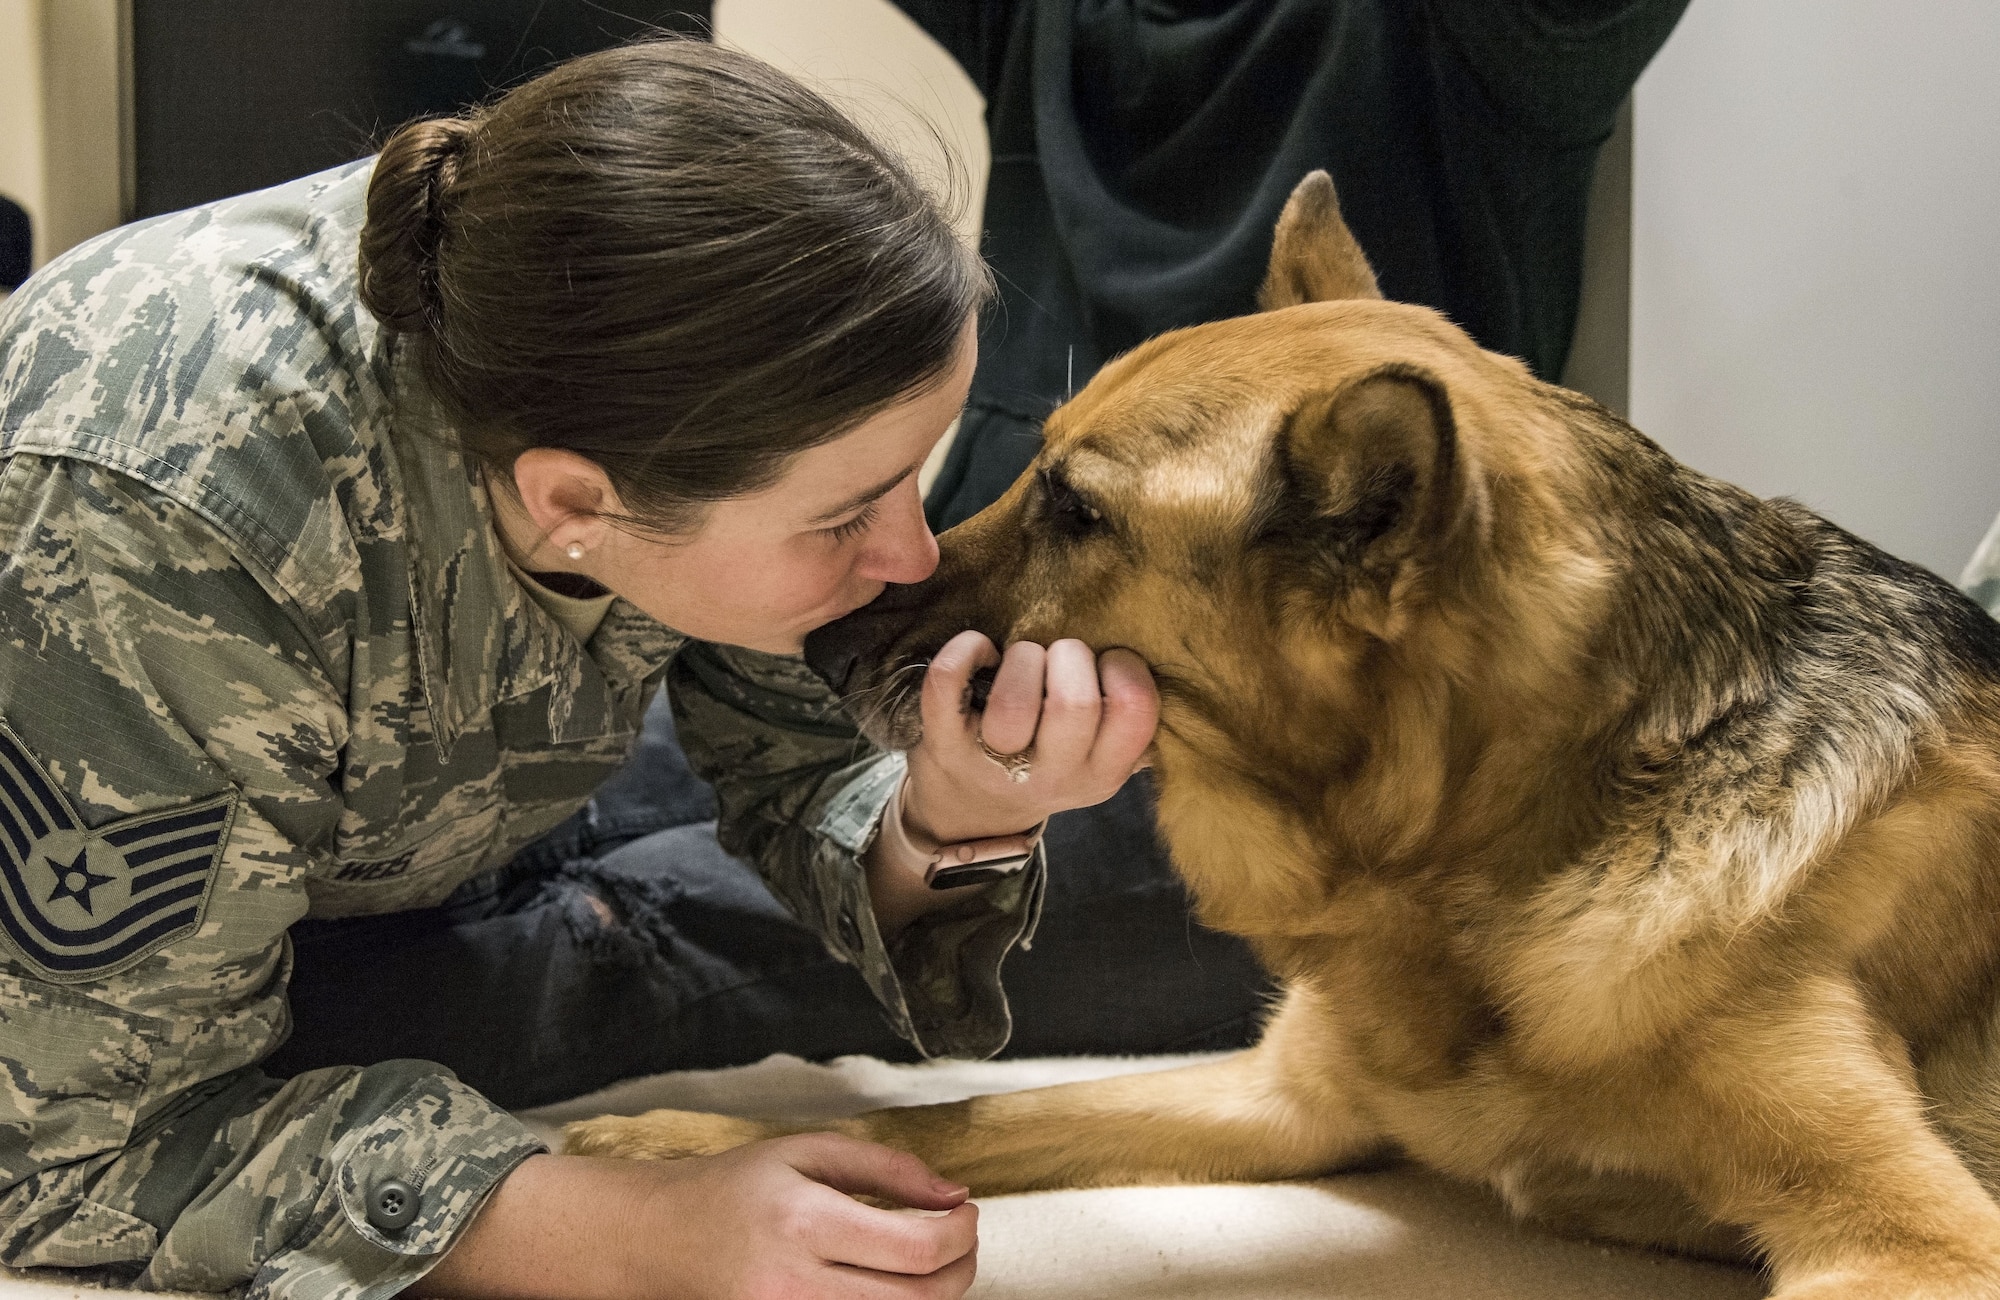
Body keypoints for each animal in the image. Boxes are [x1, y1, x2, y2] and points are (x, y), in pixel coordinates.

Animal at [572, 175, 2000, 1296]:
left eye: (1076, 514)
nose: (811, 646)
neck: (1496, 843)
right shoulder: (1280, 1101)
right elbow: (969, 1115)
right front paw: (700, 1156)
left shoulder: (1910, 1242)